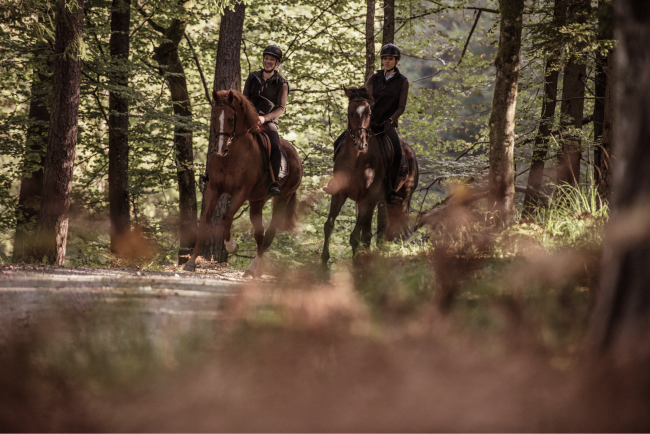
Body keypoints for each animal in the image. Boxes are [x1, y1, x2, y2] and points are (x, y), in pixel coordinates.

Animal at [183, 89, 303, 278]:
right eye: (214, 117)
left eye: (231, 119)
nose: (220, 150)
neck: (231, 155)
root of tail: (296, 156)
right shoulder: (213, 188)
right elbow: (204, 222)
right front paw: (191, 262)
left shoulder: (241, 191)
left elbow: (227, 217)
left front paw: (231, 246)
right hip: (257, 201)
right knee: (260, 233)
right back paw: (256, 269)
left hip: (282, 198)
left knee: (270, 233)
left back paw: (254, 268)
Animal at [321, 87, 419, 268]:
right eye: (350, 112)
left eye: (369, 112)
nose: (361, 143)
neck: (357, 159)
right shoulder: (339, 194)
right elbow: (329, 225)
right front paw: (323, 263)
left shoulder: (366, 199)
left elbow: (354, 236)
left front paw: (355, 266)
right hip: (377, 202)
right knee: (370, 234)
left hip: (399, 200)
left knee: (391, 231)